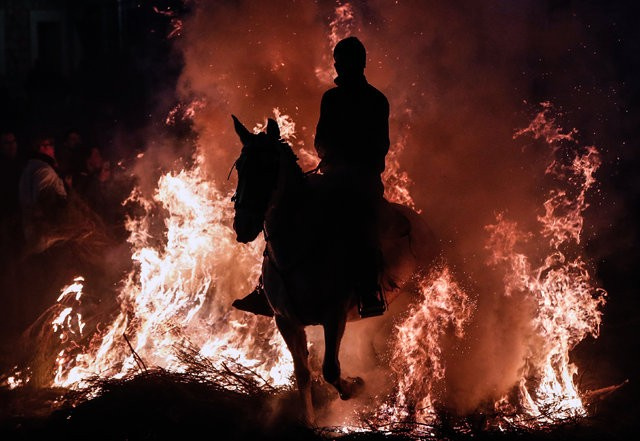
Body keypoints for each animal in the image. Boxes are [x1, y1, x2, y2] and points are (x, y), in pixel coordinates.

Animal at [229, 115, 440, 424]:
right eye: (241, 166)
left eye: (268, 167)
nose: (243, 226)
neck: (297, 249)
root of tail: (419, 221)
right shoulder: (286, 321)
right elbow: (303, 375)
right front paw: (309, 421)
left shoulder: (334, 315)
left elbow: (330, 368)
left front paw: (355, 387)